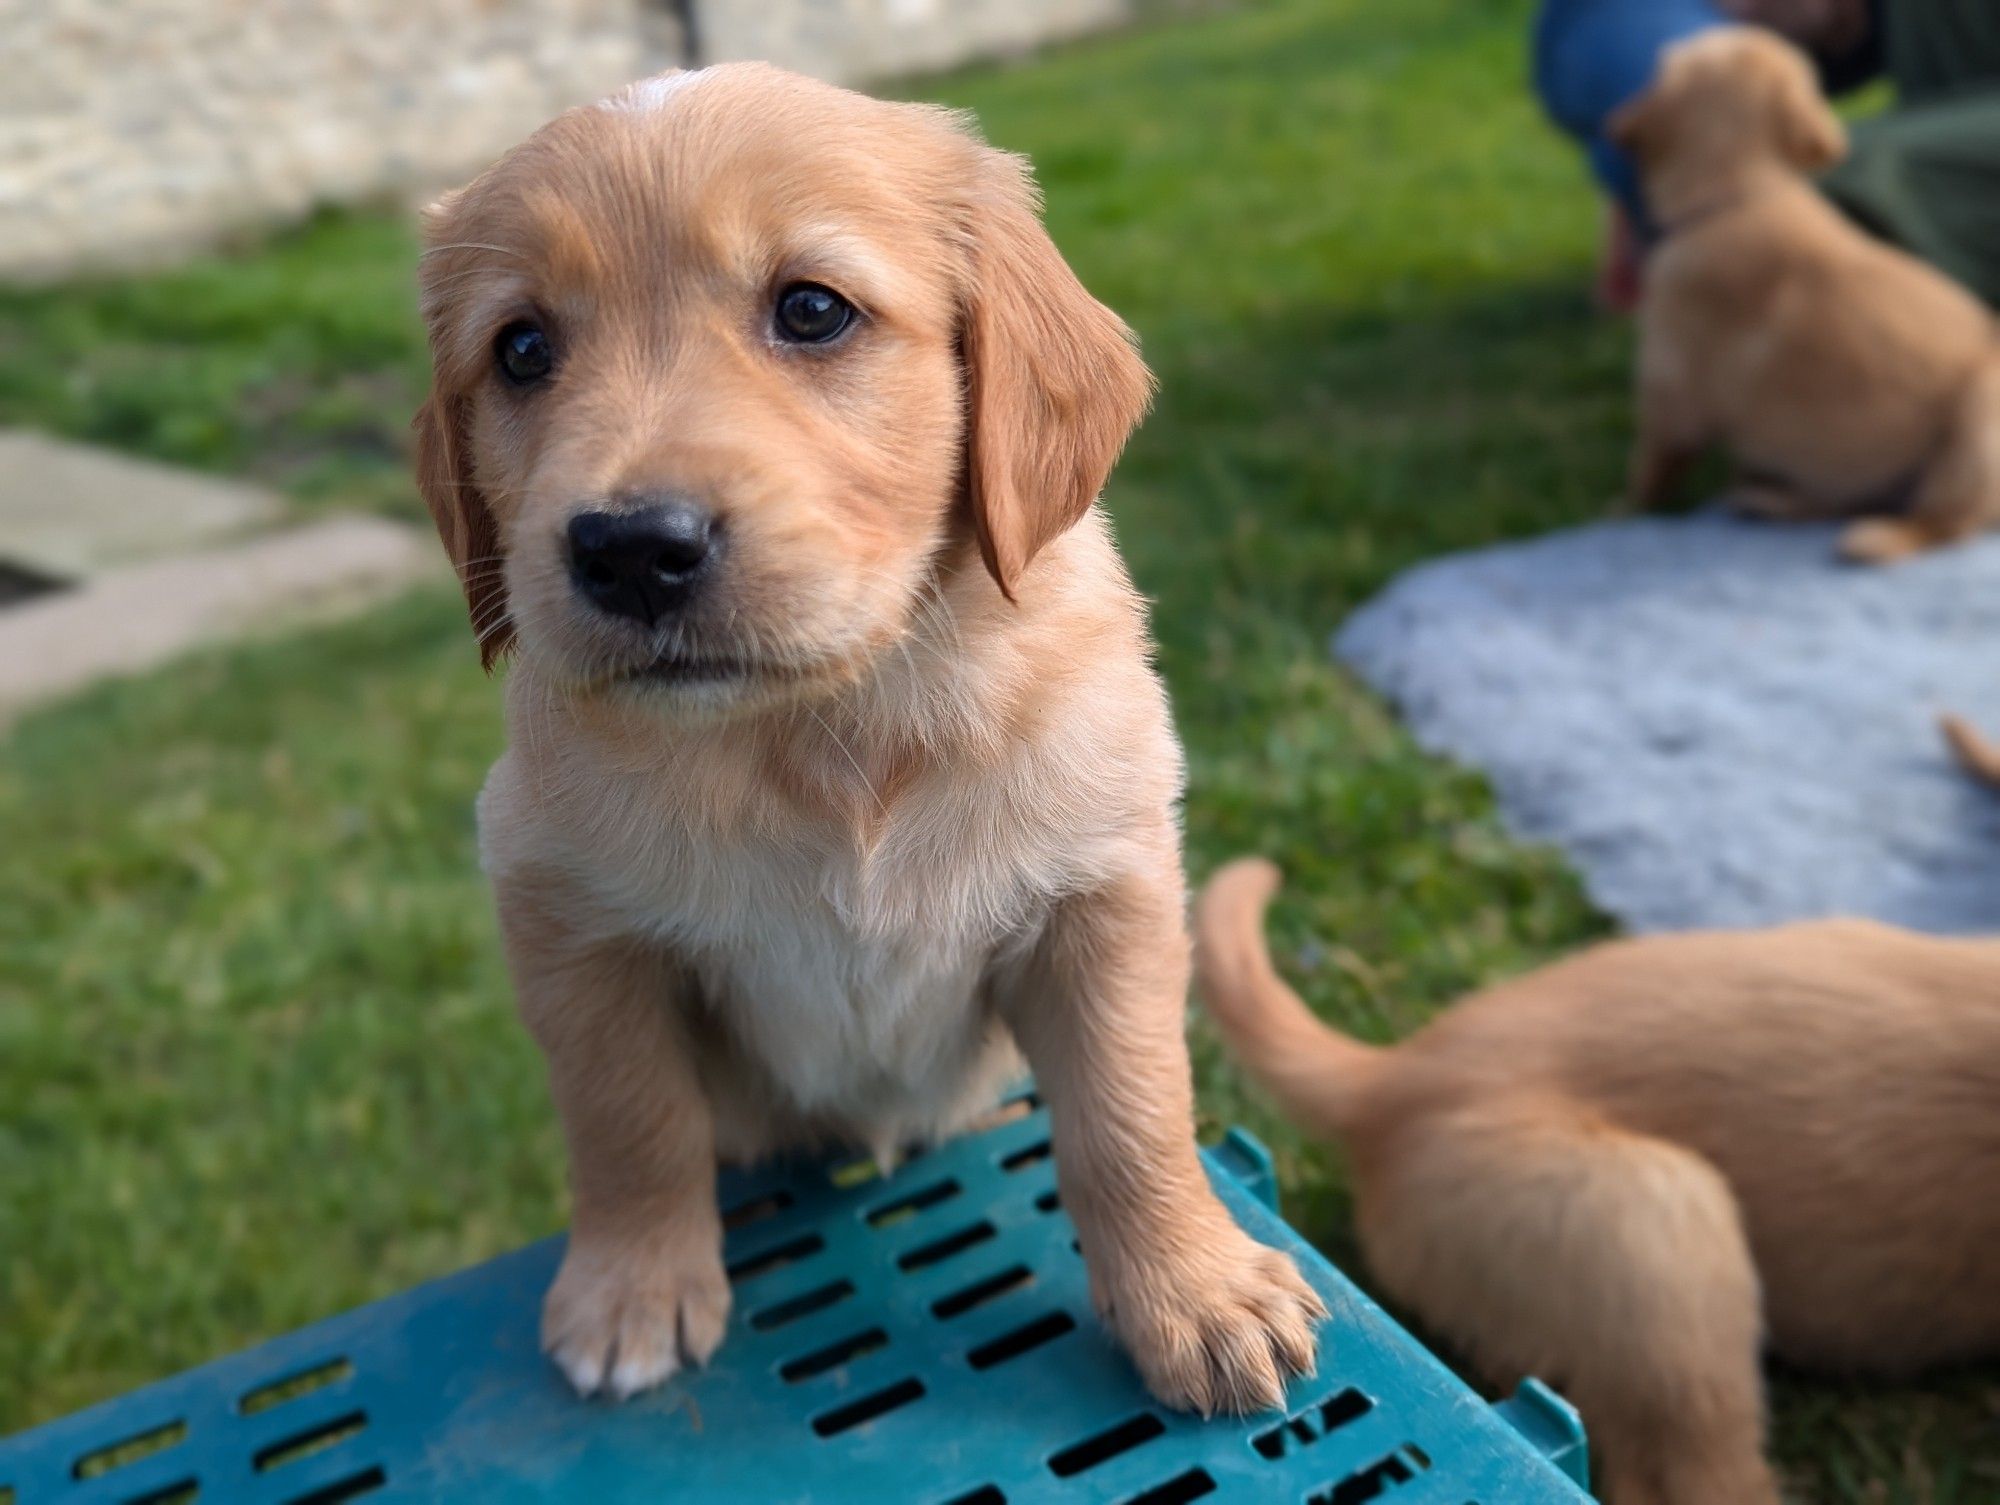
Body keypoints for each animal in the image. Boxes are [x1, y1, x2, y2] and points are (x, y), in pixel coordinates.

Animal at [418, 64, 1328, 1416]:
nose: (630, 548)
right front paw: (632, 1290)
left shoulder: (1101, 894)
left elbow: (1130, 1108)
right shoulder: (569, 921)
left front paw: (1196, 1292)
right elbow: (629, 1119)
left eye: (811, 309)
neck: (826, 725)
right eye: (521, 348)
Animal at [1608, 26, 2000, 560]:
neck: (1743, 191)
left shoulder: (1670, 395)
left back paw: (1874, 539)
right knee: (1851, 497)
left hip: (1979, 416)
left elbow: (1647, 474)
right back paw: (1770, 501)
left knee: (1946, 521)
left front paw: (1616, 512)